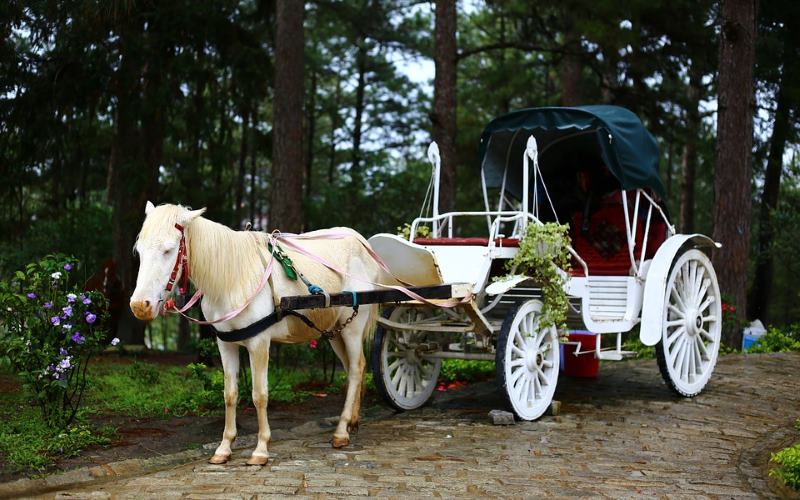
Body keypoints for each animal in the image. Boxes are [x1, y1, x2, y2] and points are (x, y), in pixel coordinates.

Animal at [129, 202, 384, 464]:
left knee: (356, 369)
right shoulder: (226, 344)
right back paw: (352, 421)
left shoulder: (259, 343)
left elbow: (259, 395)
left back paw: (341, 431)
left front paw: (261, 449)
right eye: (139, 251)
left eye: (169, 250)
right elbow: (230, 394)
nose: (139, 306)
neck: (233, 280)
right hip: (334, 331)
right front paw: (224, 448)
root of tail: (360, 241)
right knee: (353, 368)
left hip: (353, 326)